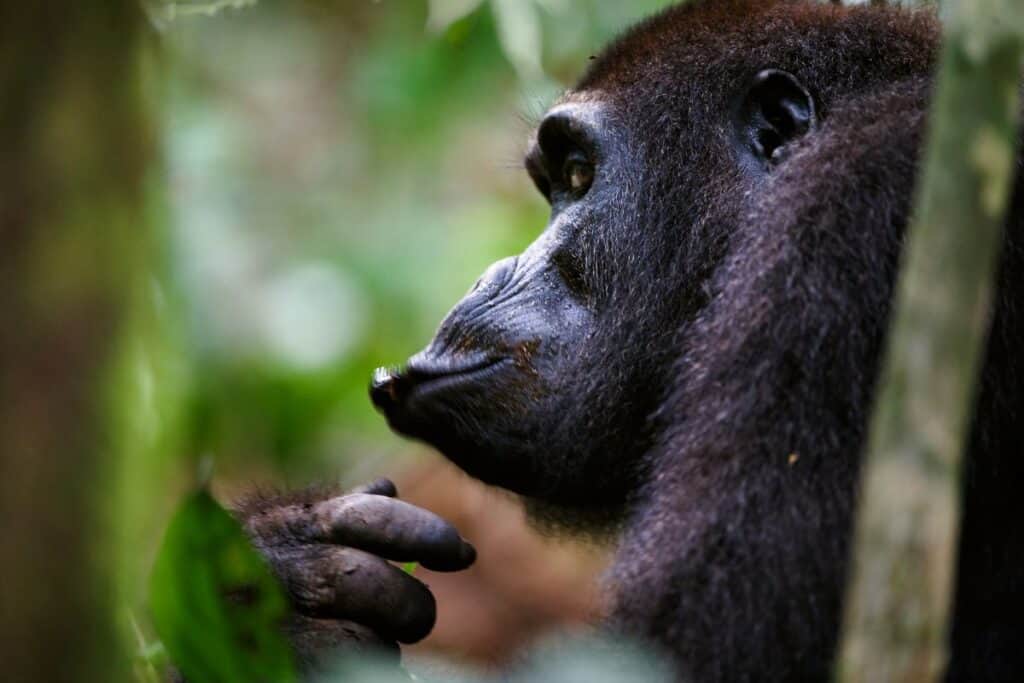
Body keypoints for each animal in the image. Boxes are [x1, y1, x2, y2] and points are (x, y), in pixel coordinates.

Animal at [235, 2, 1024, 679]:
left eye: (579, 174)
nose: (494, 271)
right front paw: (285, 566)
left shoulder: (849, 216)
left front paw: (278, 595)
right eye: (553, 182)